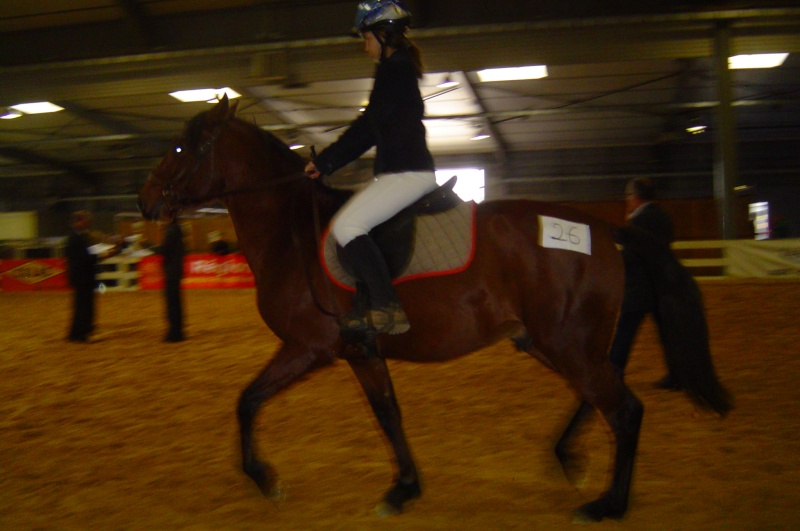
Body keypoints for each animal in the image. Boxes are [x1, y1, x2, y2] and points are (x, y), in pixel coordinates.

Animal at [141, 96, 728, 524]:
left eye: (180, 147)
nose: (146, 203)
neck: (292, 232)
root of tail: (604, 227)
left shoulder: (312, 347)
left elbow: (247, 401)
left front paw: (264, 477)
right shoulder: (360, 352)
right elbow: (388, 414)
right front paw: (405, 487)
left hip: (569, 343)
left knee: (624, 410)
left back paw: (609, 504)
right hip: (556, 342)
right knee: (600, 399)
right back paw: (569, 459)